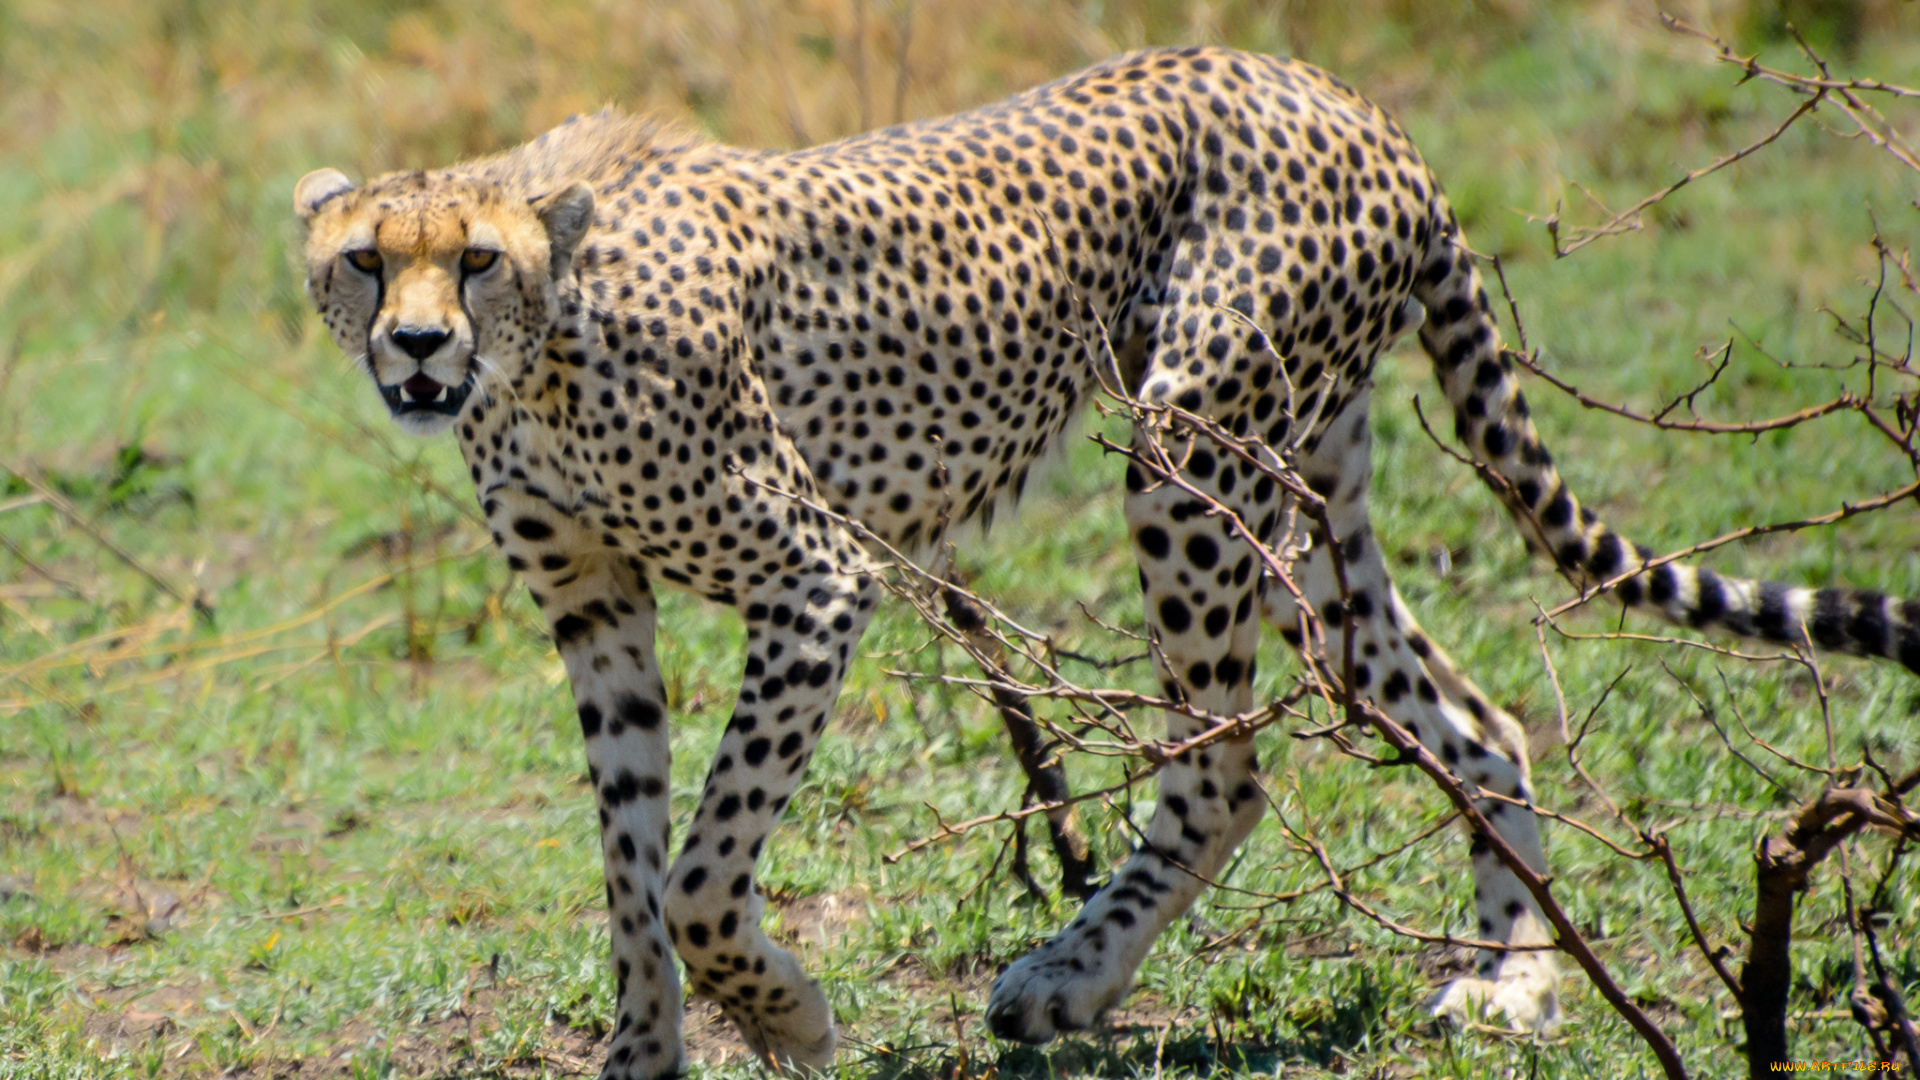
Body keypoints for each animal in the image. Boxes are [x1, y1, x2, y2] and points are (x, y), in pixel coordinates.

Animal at [295, 48, 1920, 1076]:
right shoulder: (596, 609)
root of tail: (1336, 90)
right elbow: (630, 860)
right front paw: (644, 1049)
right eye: (365, 260)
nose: (419, 348)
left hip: (1188, 446)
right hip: (1303, 497)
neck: (544, 352)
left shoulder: (817, 577)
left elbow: (699, 871)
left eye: (477, 259)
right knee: (1473, 719)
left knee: (1227, 767)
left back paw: (1068, 980)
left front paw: (785, 1014)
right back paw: (1514, 977)